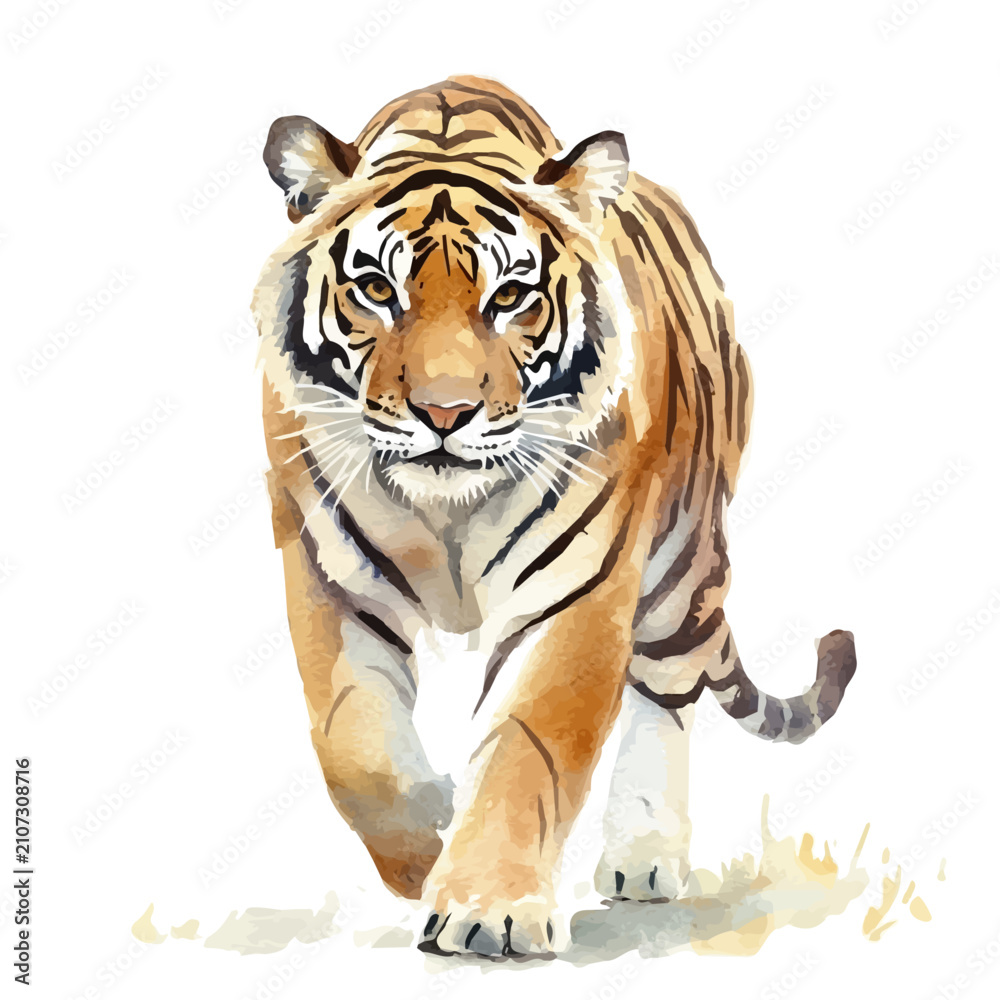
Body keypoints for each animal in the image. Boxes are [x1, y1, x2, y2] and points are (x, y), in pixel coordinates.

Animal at [251, 75, 857, 957]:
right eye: (376, 290)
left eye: (510, 297)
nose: (445, 413)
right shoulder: (330, 573)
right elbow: (356, 752)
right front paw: (431, 842)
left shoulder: (576, 586)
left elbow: (530, 741)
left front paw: (486, 907)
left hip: (683, 568)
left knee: (667, 689)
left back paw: (644, 857)